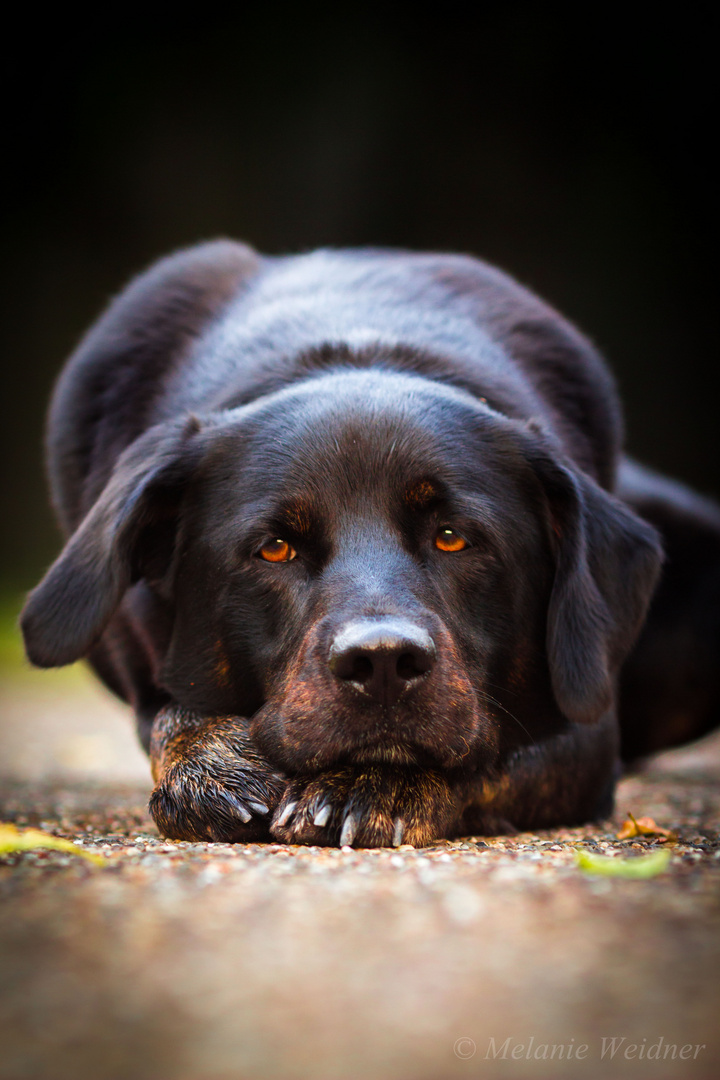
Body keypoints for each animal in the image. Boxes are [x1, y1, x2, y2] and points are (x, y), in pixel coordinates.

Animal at [19, 240, 716, 846]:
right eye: (274, 548)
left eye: (453, 537)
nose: (382, 662)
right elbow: (169, 716)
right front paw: (212, 761)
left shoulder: (585, 723)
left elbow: (492, 752)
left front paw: (374, 783)